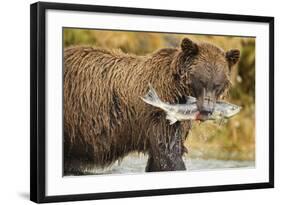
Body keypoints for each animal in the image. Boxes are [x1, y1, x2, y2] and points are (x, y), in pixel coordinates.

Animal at [63, 37, 238, 174]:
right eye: (201, 81)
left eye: (218, 84)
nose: (207, 109)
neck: (179, 90)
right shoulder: (160, 115)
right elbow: (168, 153)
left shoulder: (177, 123)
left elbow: (160, 156)